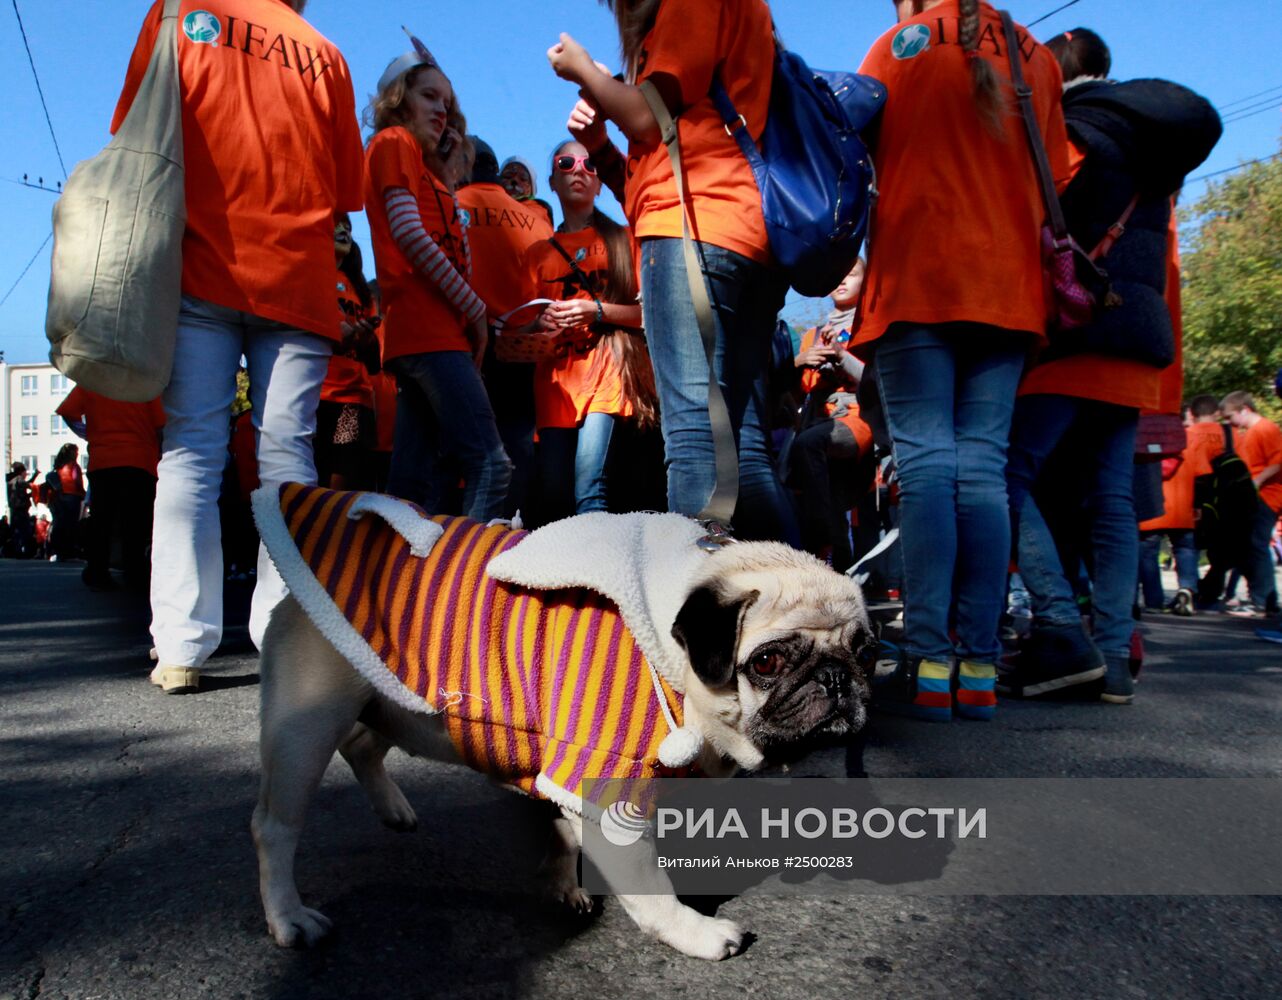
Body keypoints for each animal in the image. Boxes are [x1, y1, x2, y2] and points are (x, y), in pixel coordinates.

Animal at [249, 492, 871, 958]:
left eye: (864, 647)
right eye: (766, 663)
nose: (836, 678)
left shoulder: (573, 775)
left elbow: (564, 824)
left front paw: (561, 880)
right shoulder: (606, 775)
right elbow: (652, 892)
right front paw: (697, 933)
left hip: (390, 695)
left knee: (362, 744)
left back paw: (393, 808)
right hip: (309, 724)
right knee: (273, 826)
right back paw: (288, 918)